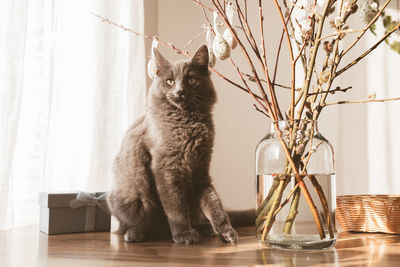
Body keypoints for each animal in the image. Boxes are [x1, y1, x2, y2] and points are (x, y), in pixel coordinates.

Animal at [108, 45, 248, 245]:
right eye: (170, 82)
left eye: (191, 80)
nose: (180, 90)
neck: (187, 122)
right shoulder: (166, 169)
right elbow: (175, 206)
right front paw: (183, 233)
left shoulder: (201, 170)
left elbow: (214, 204)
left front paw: (226, 232)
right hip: (132, 197)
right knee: (136, 223)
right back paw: (136, 233)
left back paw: (207, 229)